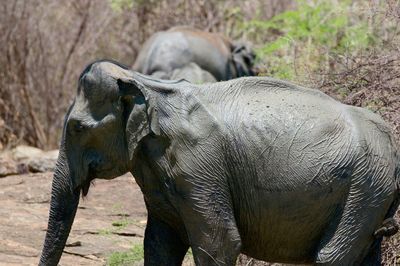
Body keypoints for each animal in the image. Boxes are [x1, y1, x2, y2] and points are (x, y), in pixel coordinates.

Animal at [38, 59, 400, 264]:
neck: (144, 84)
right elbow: (159, 244)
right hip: (369, 198)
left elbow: (219, 241)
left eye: (77, 127)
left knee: (332, 257)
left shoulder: (198, 163)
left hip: (364, 188)